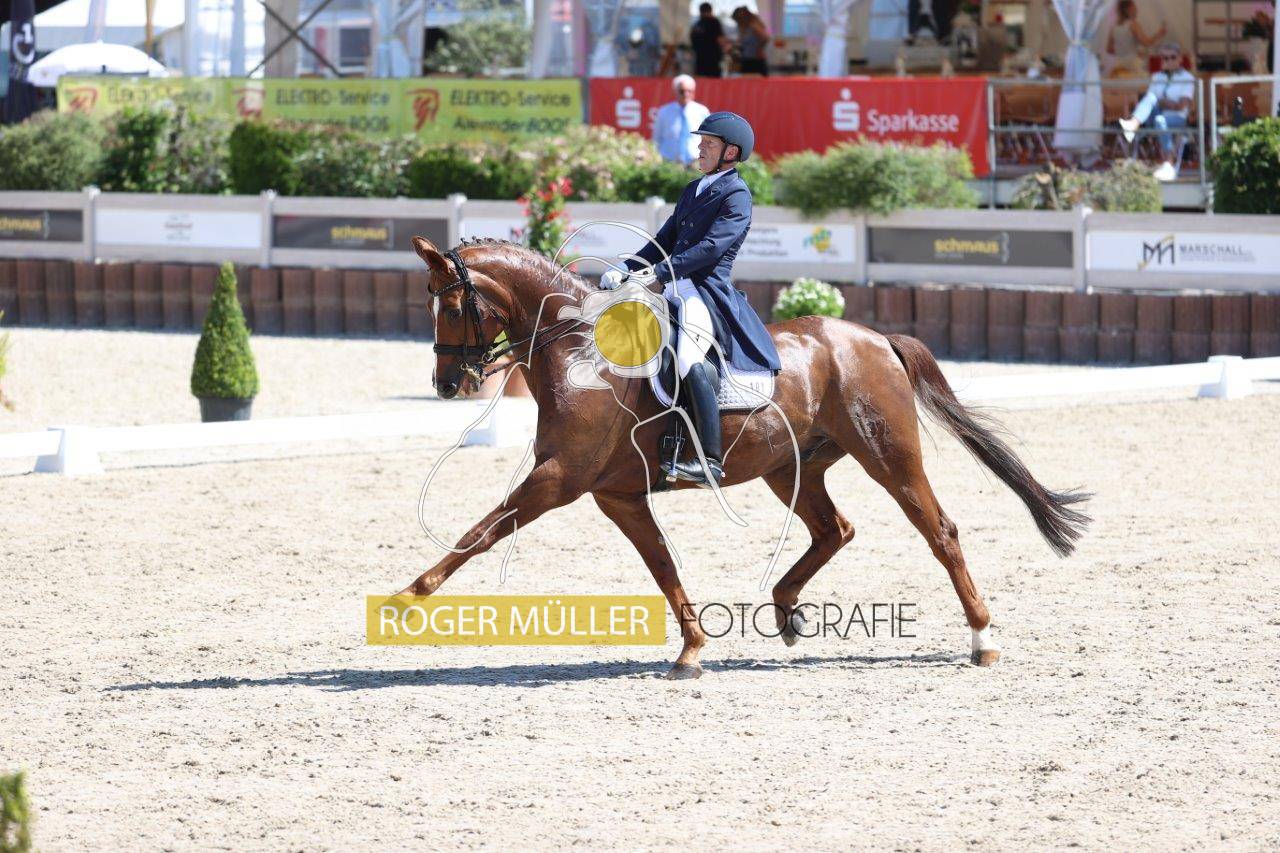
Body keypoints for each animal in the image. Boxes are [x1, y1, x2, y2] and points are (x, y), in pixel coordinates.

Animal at [399, 236, 1091, 679]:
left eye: (452, 303)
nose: (447, 384)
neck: (581, 354)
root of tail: (874, 339)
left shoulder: (558, 480)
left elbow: (480, 533)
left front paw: (407, 599)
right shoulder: (616, 494)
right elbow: (662, 565)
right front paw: (692, 650)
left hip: (889, 457)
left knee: (939, 532)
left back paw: (982, 640)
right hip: (791, 467)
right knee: (834, 529)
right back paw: (785, 613)